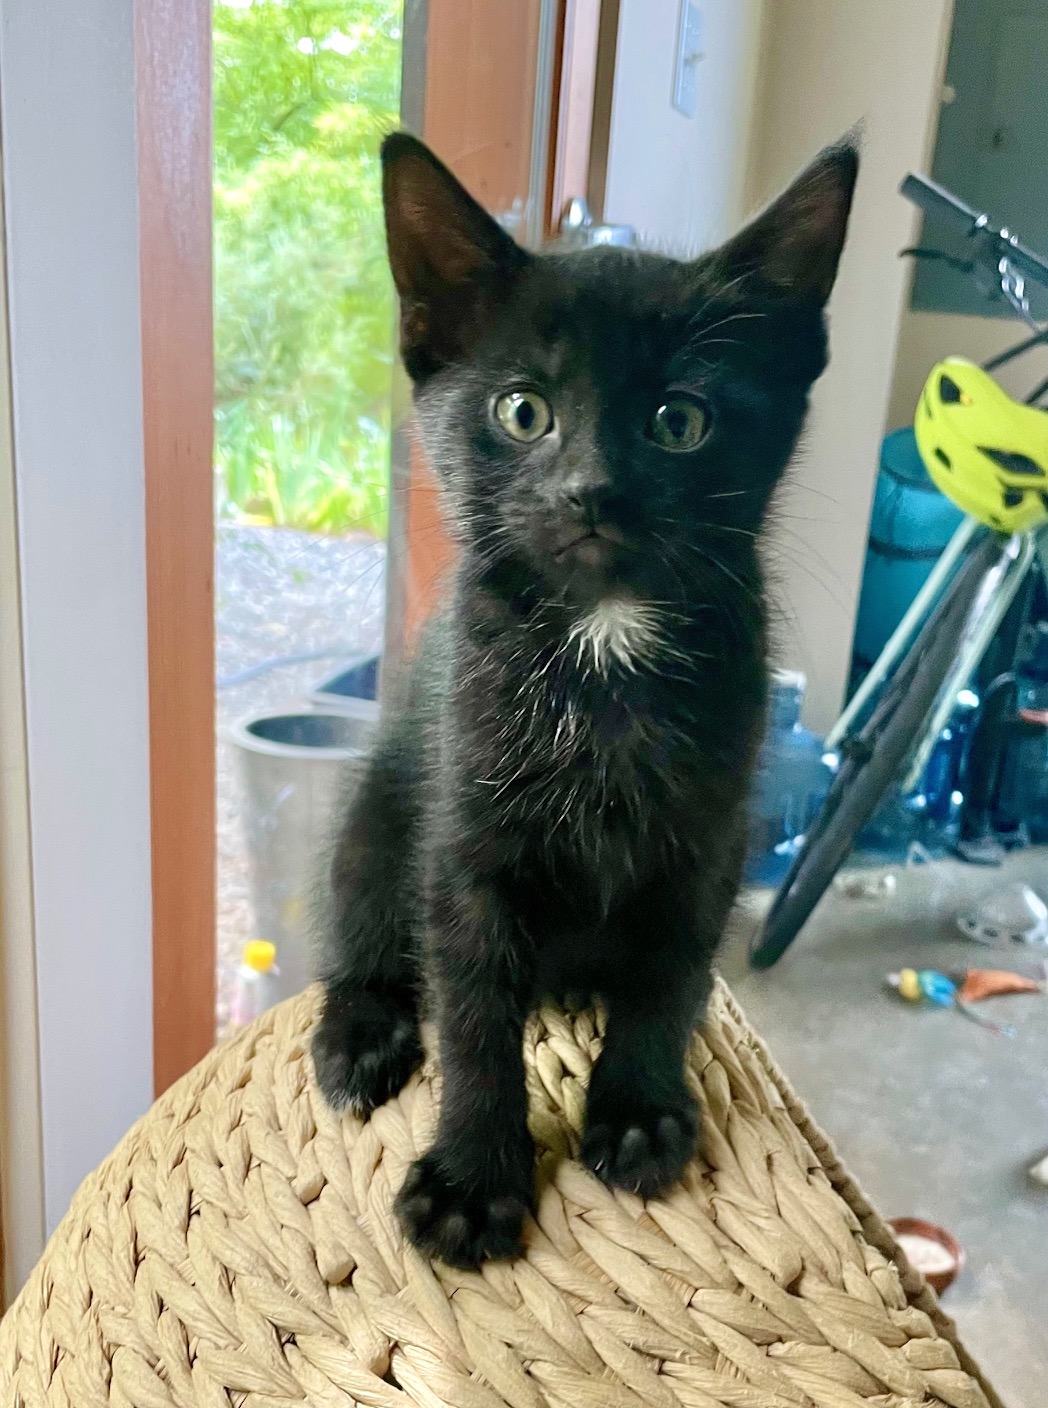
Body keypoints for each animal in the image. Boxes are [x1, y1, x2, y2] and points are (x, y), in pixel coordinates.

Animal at [313, 131, 857, 1268]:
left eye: (680, 420)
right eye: (523, 411)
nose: (591, 489)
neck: (604, 641)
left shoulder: (710, 832)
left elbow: (670, 974)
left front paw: (640, 1109)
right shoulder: (465, 841)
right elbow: (474, 1013)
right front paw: (472, 1179)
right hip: (381, 804)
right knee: (362, 924)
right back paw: (360, 1034)